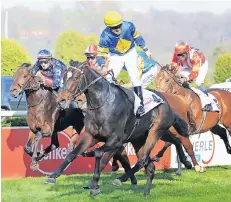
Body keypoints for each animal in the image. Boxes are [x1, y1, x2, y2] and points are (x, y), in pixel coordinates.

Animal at [43, 60, 195, 196]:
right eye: (63, 78)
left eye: (75, 78)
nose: (61, 100)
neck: (104, 104)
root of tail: (168, 104)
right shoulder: (91, 136)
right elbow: (72, 154)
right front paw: (53, 175)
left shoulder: (116, 140)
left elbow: (99, 154)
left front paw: (94, 184)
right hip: (140, 138)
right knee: (153, 162)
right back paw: (147, 191)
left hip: (156, 132)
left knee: (143, 159)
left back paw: (121, 179)